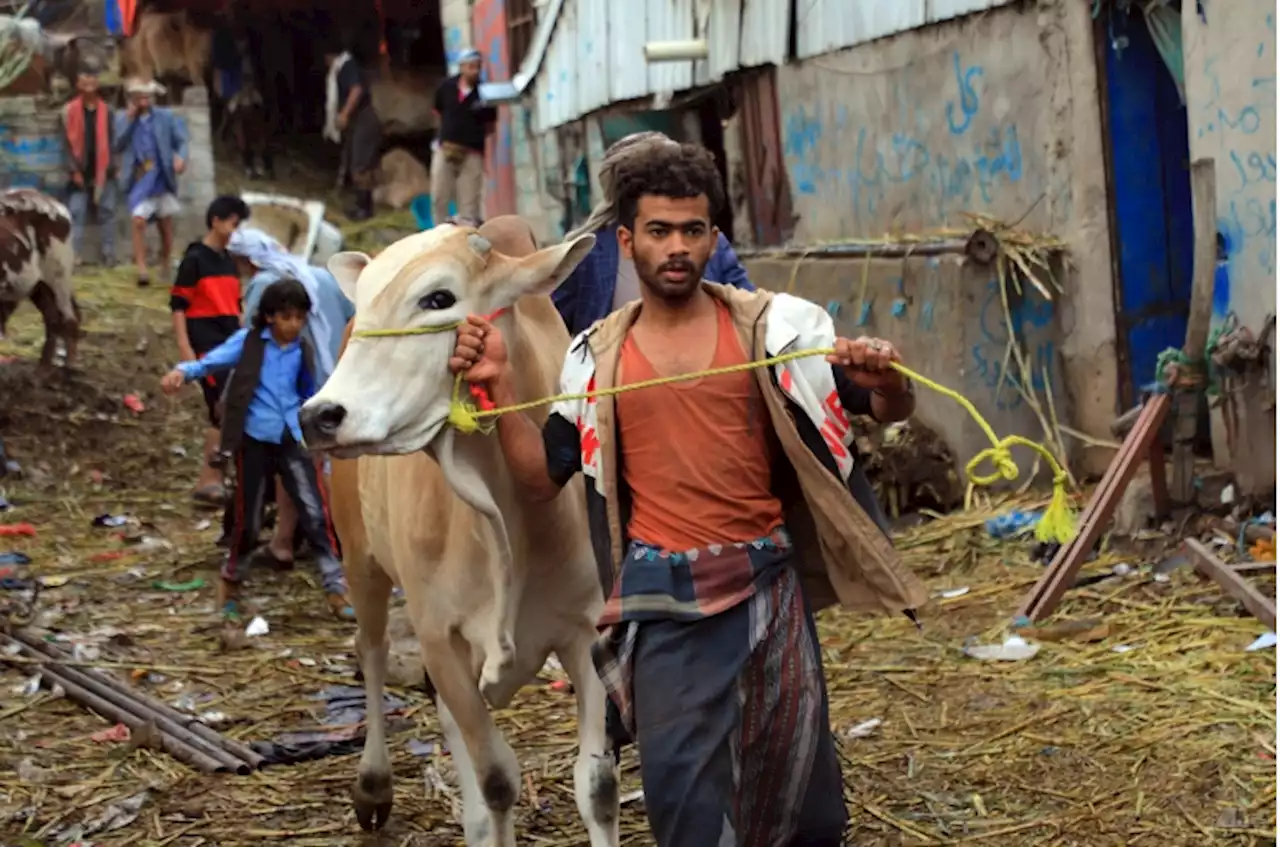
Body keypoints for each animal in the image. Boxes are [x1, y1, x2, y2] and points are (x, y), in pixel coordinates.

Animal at [0, 191, 79, 378]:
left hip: (58, 276)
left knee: (69, 317)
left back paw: (69, 365)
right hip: (38, 286)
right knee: (53, 318)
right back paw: (44, 368)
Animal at [302, 220, 616, 847]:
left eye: (438, 298)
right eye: (364, 299)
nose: (318, 415)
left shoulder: (583, 630)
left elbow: (597, 788)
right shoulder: (439, 636)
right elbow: (498, 781)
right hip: (360, 559)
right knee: (371, 651)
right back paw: (373, 784)